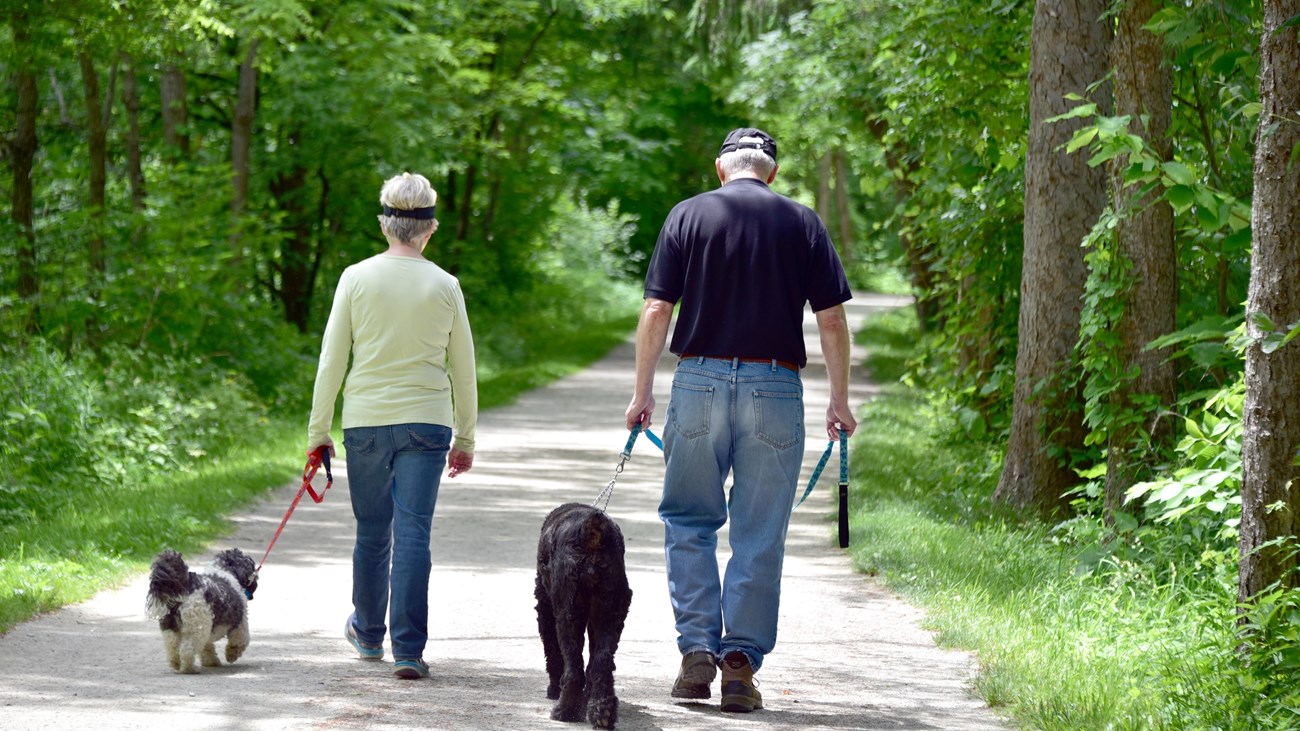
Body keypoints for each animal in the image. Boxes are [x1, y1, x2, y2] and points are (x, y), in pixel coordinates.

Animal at [535, 504, 631, 723]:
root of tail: (591, 529)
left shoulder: (545, 608)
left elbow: (552, 652)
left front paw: (554, 689)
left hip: (568, 613)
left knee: (573, 666)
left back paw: (565, 711)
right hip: (611, 611)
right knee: (602, 662)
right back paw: (602, 710)